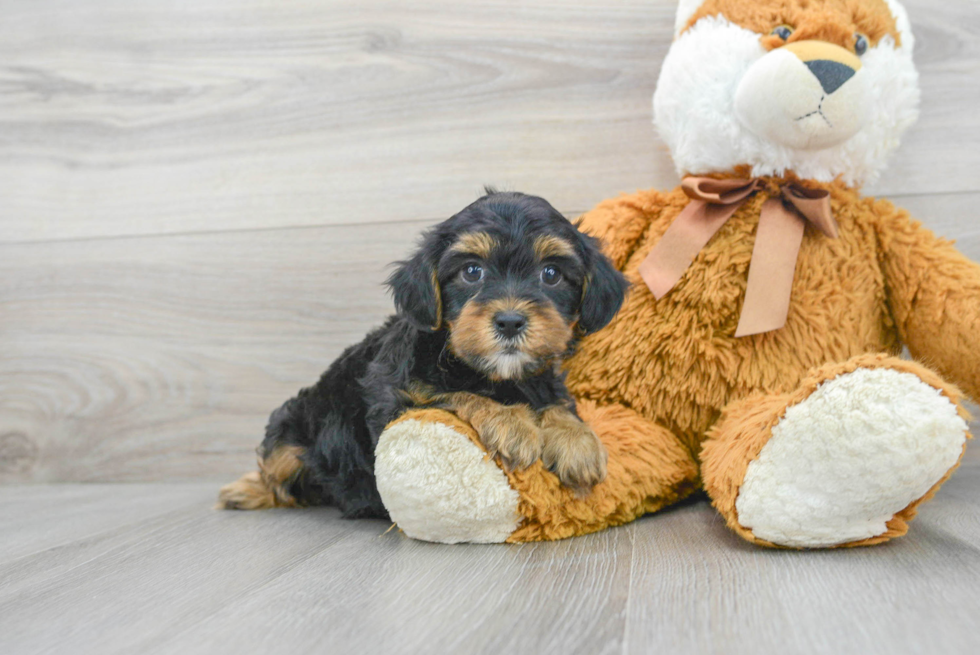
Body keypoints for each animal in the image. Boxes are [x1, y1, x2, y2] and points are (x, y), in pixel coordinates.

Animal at [218, 192, 628, 520]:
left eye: (551, 274)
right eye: (472, 271)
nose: (510, 321)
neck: (490, 374)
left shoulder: (542, 379)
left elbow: (557, 400)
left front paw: (578, 442)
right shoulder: (393, 399)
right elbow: (452, 395)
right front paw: (512, 424)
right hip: (291, 425)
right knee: (278, 470)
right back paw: (244, 490)